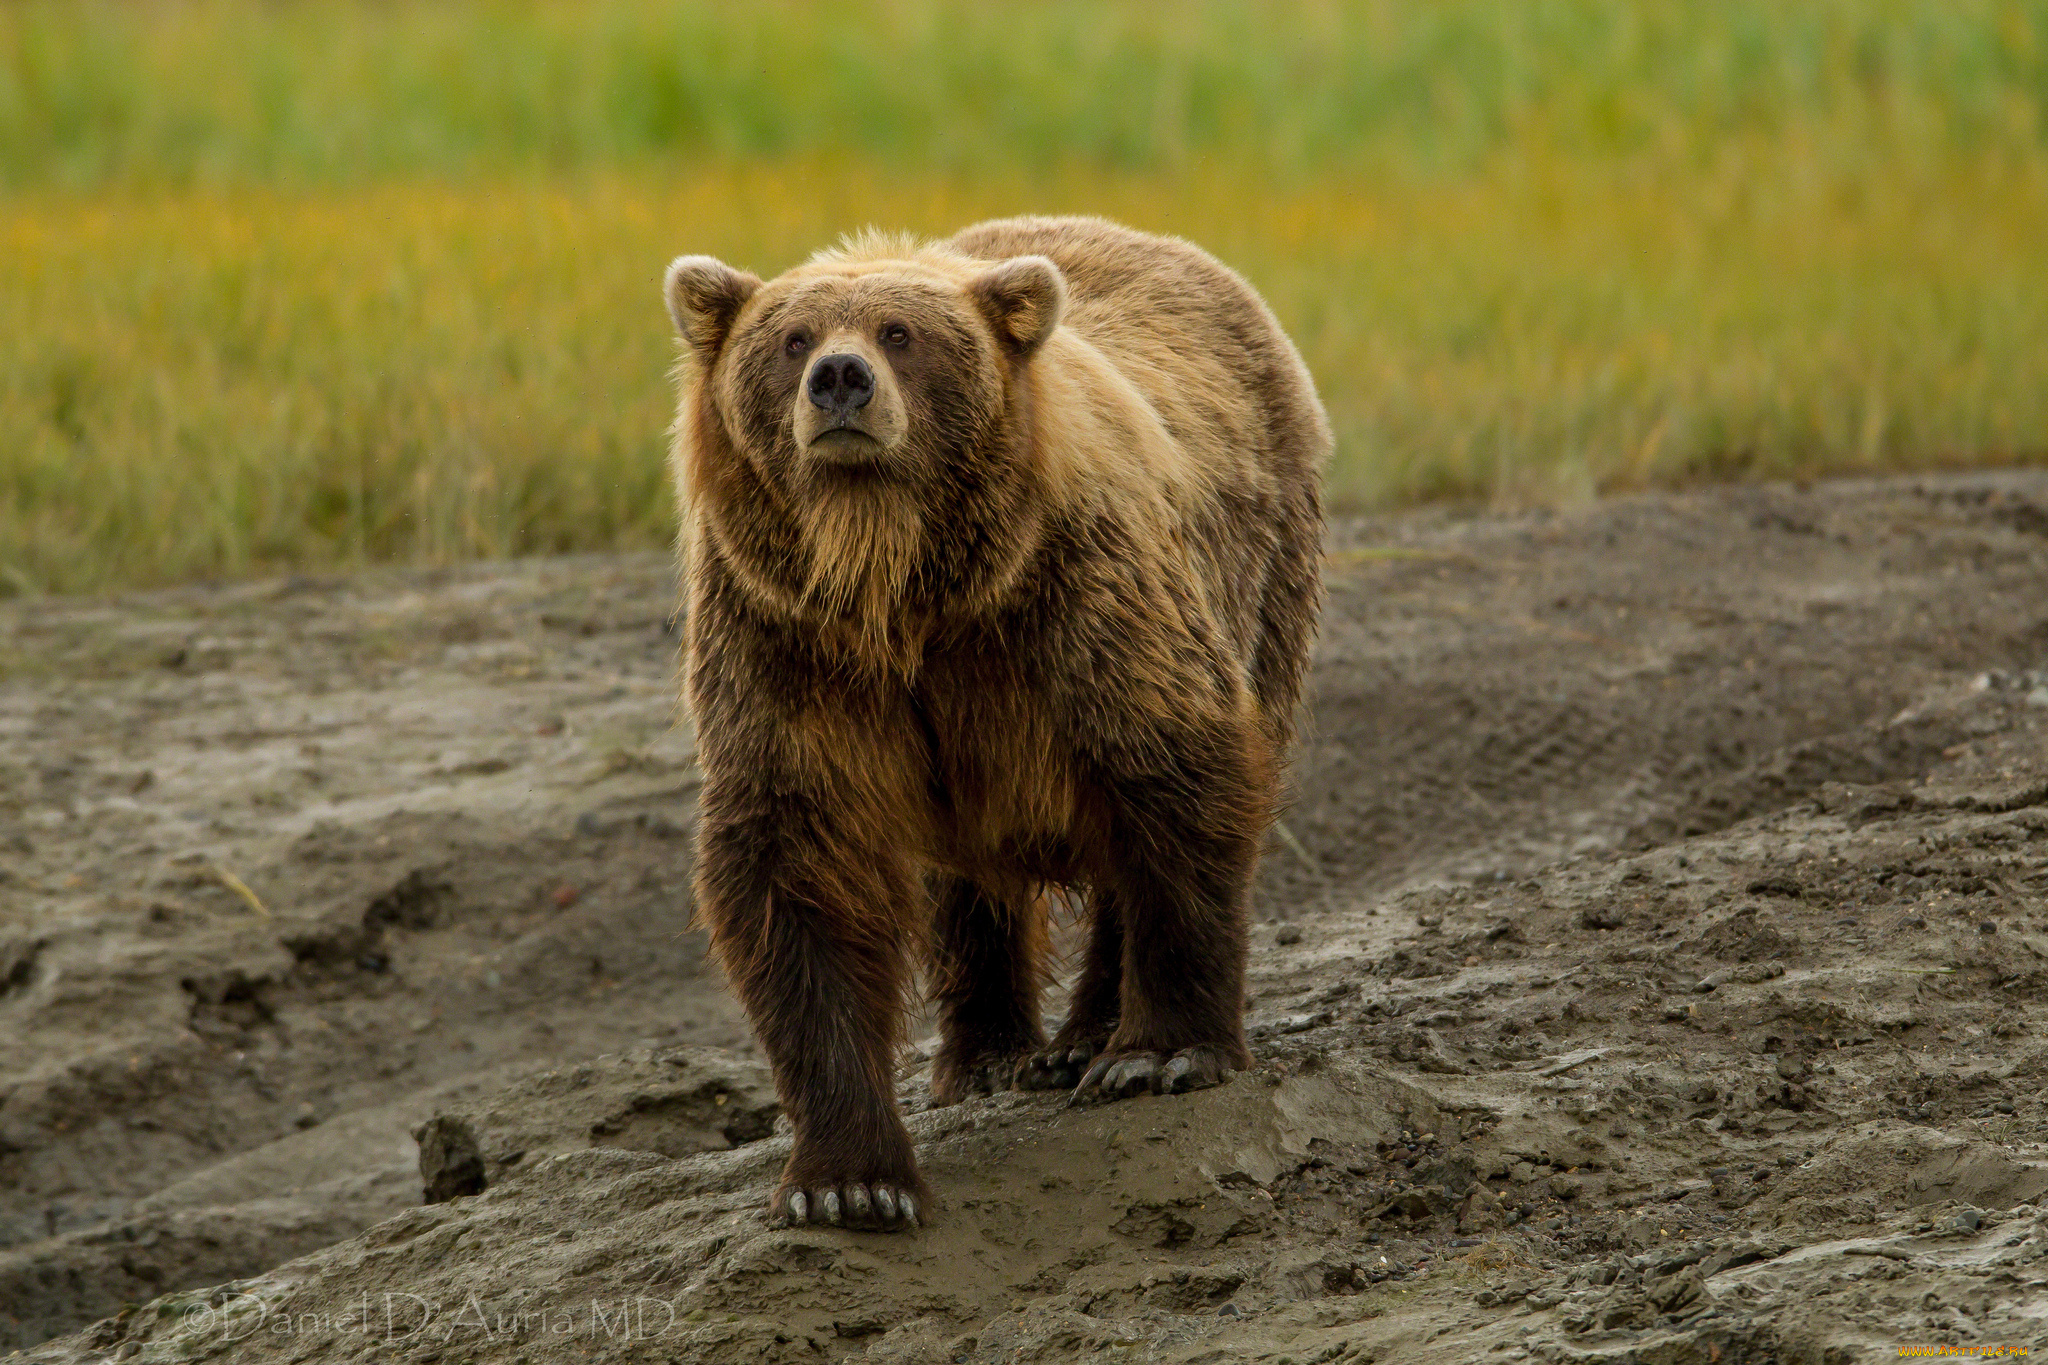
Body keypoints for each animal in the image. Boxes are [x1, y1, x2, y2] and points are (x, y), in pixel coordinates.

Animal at [659, 215, 1327, 1236]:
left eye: (899, 333)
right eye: (792, 339)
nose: (840, 378)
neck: (898, 582)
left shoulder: (1074, 600)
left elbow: (1174, 772)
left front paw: (1165, 1051)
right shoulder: (786, 643)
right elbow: (796, 864)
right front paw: (849, 1180)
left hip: (1265, 564)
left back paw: (1088, 1037)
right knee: (963, 888)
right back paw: (986, 1053)